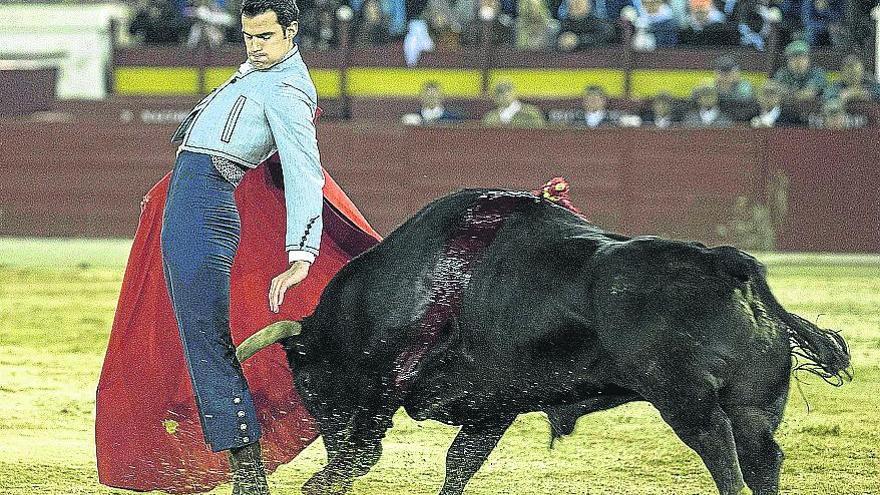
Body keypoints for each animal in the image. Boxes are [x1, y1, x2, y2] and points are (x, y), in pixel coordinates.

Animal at [237, 189, 848, 495]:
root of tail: (727, 264)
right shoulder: (494, 406)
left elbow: (367, 458)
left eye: (309, 382)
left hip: (685, 400)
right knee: (762, 458)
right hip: (753, 404)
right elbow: (459, 464)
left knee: (722, 454)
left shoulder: (378, 404)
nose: (328, 438)